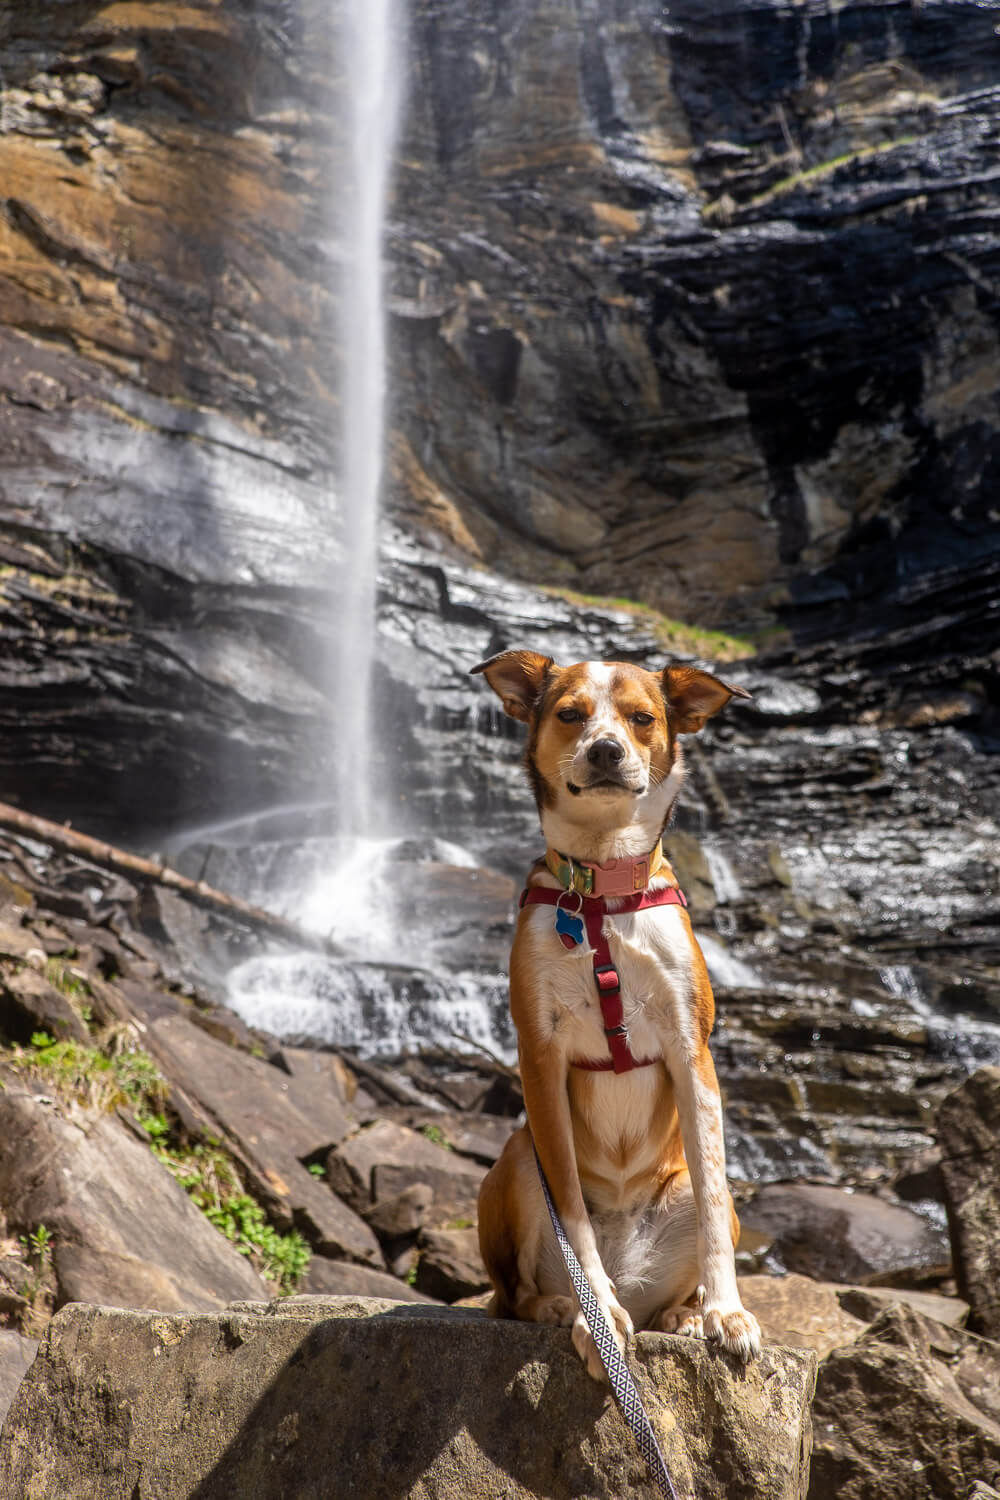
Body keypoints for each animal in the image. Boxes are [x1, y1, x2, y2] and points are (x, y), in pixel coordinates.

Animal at [473, 651, 761, 1374]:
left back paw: (683, 1315)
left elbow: (714, 1196)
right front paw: (595, 1311)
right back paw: (561, 1304)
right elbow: (573, 1216)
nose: (606, 749)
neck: (600, 891)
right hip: (517, 1160)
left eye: (642, 718)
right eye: (570, 713)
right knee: (513, 1295)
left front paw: (724, 1311)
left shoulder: (693, 1052)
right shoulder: (540, 1059)